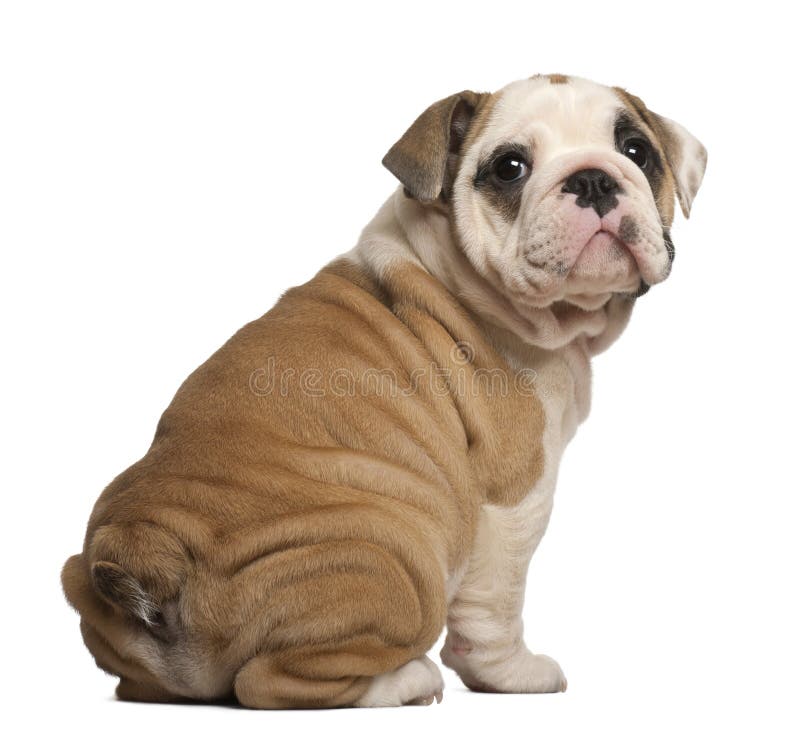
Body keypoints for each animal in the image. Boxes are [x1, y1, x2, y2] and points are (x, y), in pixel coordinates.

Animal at [62, 73, 708, 708]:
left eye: (637, 151)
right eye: (510, 168)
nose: (594, 177)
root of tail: (146, 549)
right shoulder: (514, 496)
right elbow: (496, 603)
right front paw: (512, 676)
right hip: (395, 554)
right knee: (269, 681)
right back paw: (407, 681)